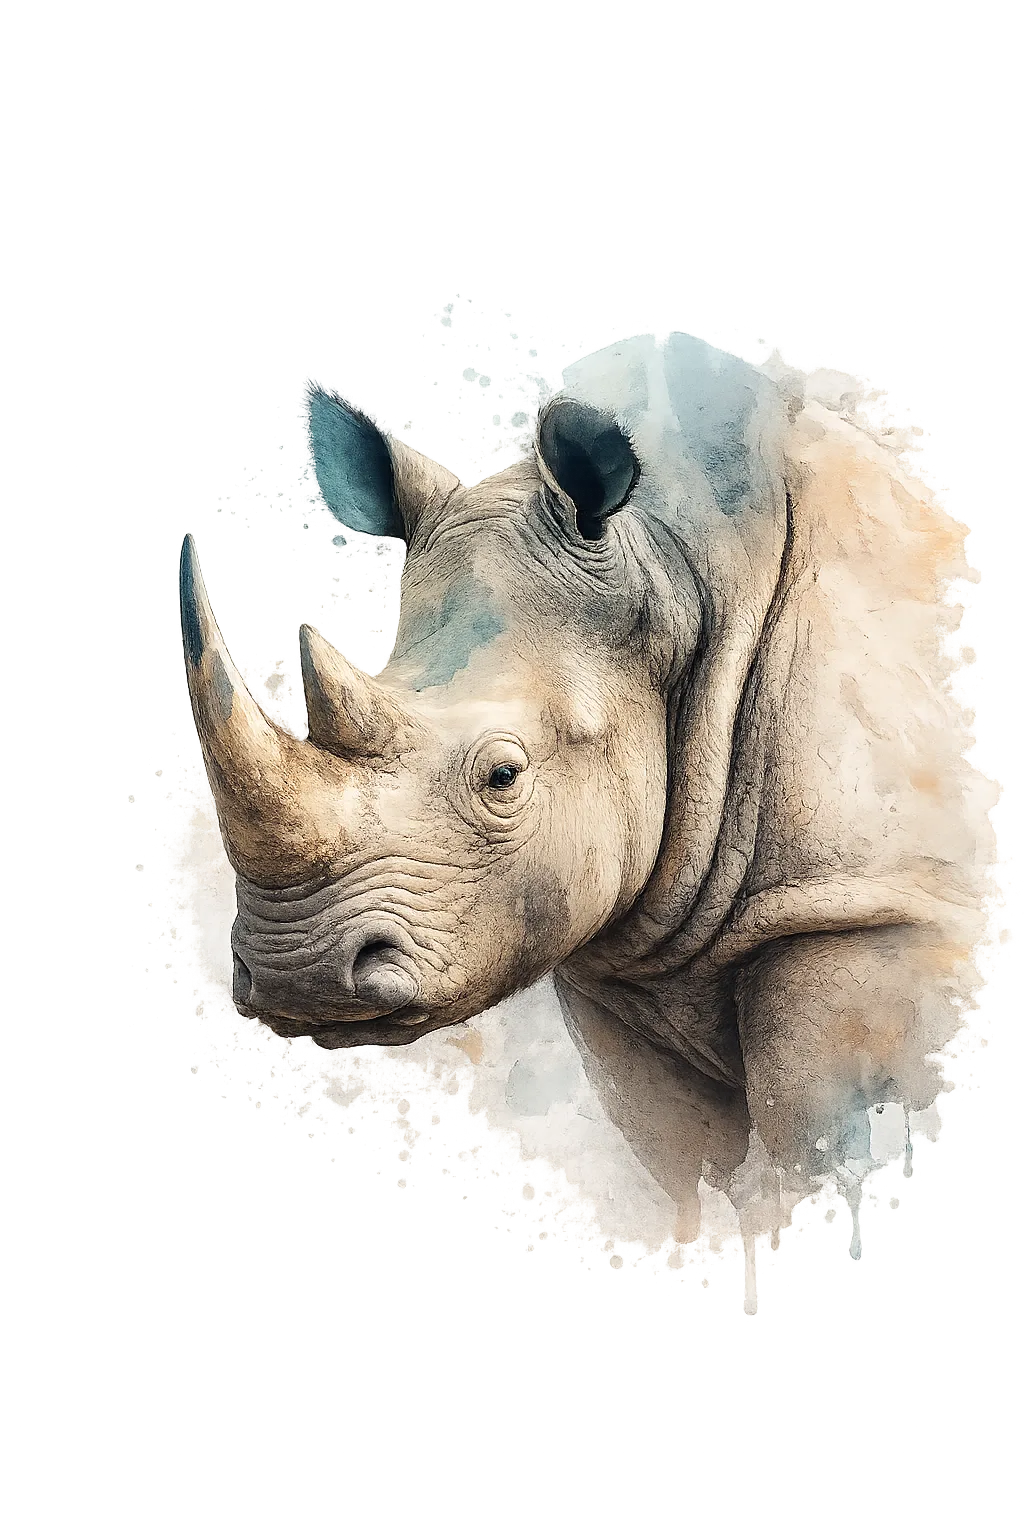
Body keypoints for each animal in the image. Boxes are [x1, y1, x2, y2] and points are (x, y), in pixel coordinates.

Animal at [179, 333, 982, 1234]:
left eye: (503, 775)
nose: (296, 976)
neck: (679, 572)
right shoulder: (634, 970)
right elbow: (691, 1175)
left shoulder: (868, 907)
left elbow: (831, 1172)